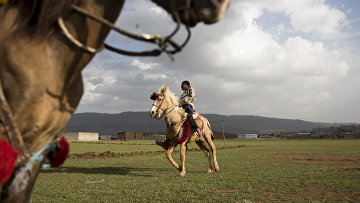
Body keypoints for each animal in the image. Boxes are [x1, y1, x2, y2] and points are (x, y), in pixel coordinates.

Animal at [0, 0, 231, 201]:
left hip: (206, 135)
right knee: (205, 151)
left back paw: (217, 167)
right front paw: (178, 169)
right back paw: (209, 169)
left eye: (160, 99)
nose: (152, 113)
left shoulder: (182, 142)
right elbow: (167, 155)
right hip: (198, 140)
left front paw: (182, 171)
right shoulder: (173, 143)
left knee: (213, 149)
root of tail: (205, 120)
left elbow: (182, 156)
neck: (174, 121)